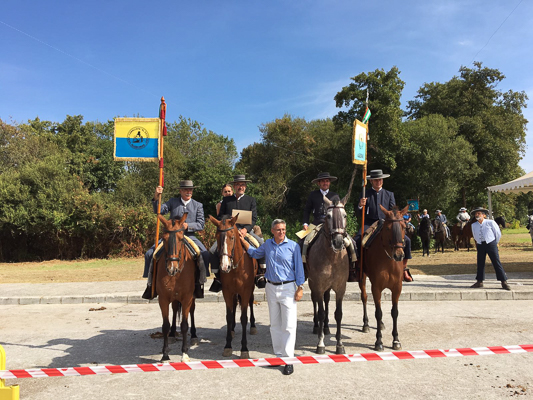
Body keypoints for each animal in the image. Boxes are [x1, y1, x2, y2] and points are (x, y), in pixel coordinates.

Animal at [155, 214, 196, 360]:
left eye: (181, 238)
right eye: (164, 238)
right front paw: (165, 354)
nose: (172, 268)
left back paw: (194, 335)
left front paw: (184, 353)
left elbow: (184, 325)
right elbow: (165, 326)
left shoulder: (187, 298)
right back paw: (172, 334)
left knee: (192, 311)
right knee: (173, 310)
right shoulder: (163, 299)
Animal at [208, 216, 258, 360]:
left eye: (231, 237)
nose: (225, 266)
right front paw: (228, 346)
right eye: (217, 237)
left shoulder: (245, 291)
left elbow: (244, 318)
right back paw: (232, 330)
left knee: (251, 303)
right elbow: (229, 317)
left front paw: (244, 349)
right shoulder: (227, 292)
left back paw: (253, 326)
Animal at [306, 194, 352, 354]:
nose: (338, 242)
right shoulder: (319, 285)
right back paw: (316, 327)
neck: (332, 257)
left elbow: (338, 314)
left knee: (326, 301)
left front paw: (339, 344)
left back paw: (325, 327)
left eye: (345, 215)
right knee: (315, 302)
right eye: (328, 216)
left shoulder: (340, 288)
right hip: (313, 284)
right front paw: (320, 344)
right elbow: (320, 312)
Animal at [360, 205, 410, 352]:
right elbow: (378, 313)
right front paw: (378, 341)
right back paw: (365, 324)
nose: (399, 255)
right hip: (362, 278)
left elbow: (394, 312)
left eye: (404, 227)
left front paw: (396, 340)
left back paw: (381, 324)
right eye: (388, 228)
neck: (389, 261)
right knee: (364, 298)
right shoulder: (376, 287)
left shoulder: (397, 288)